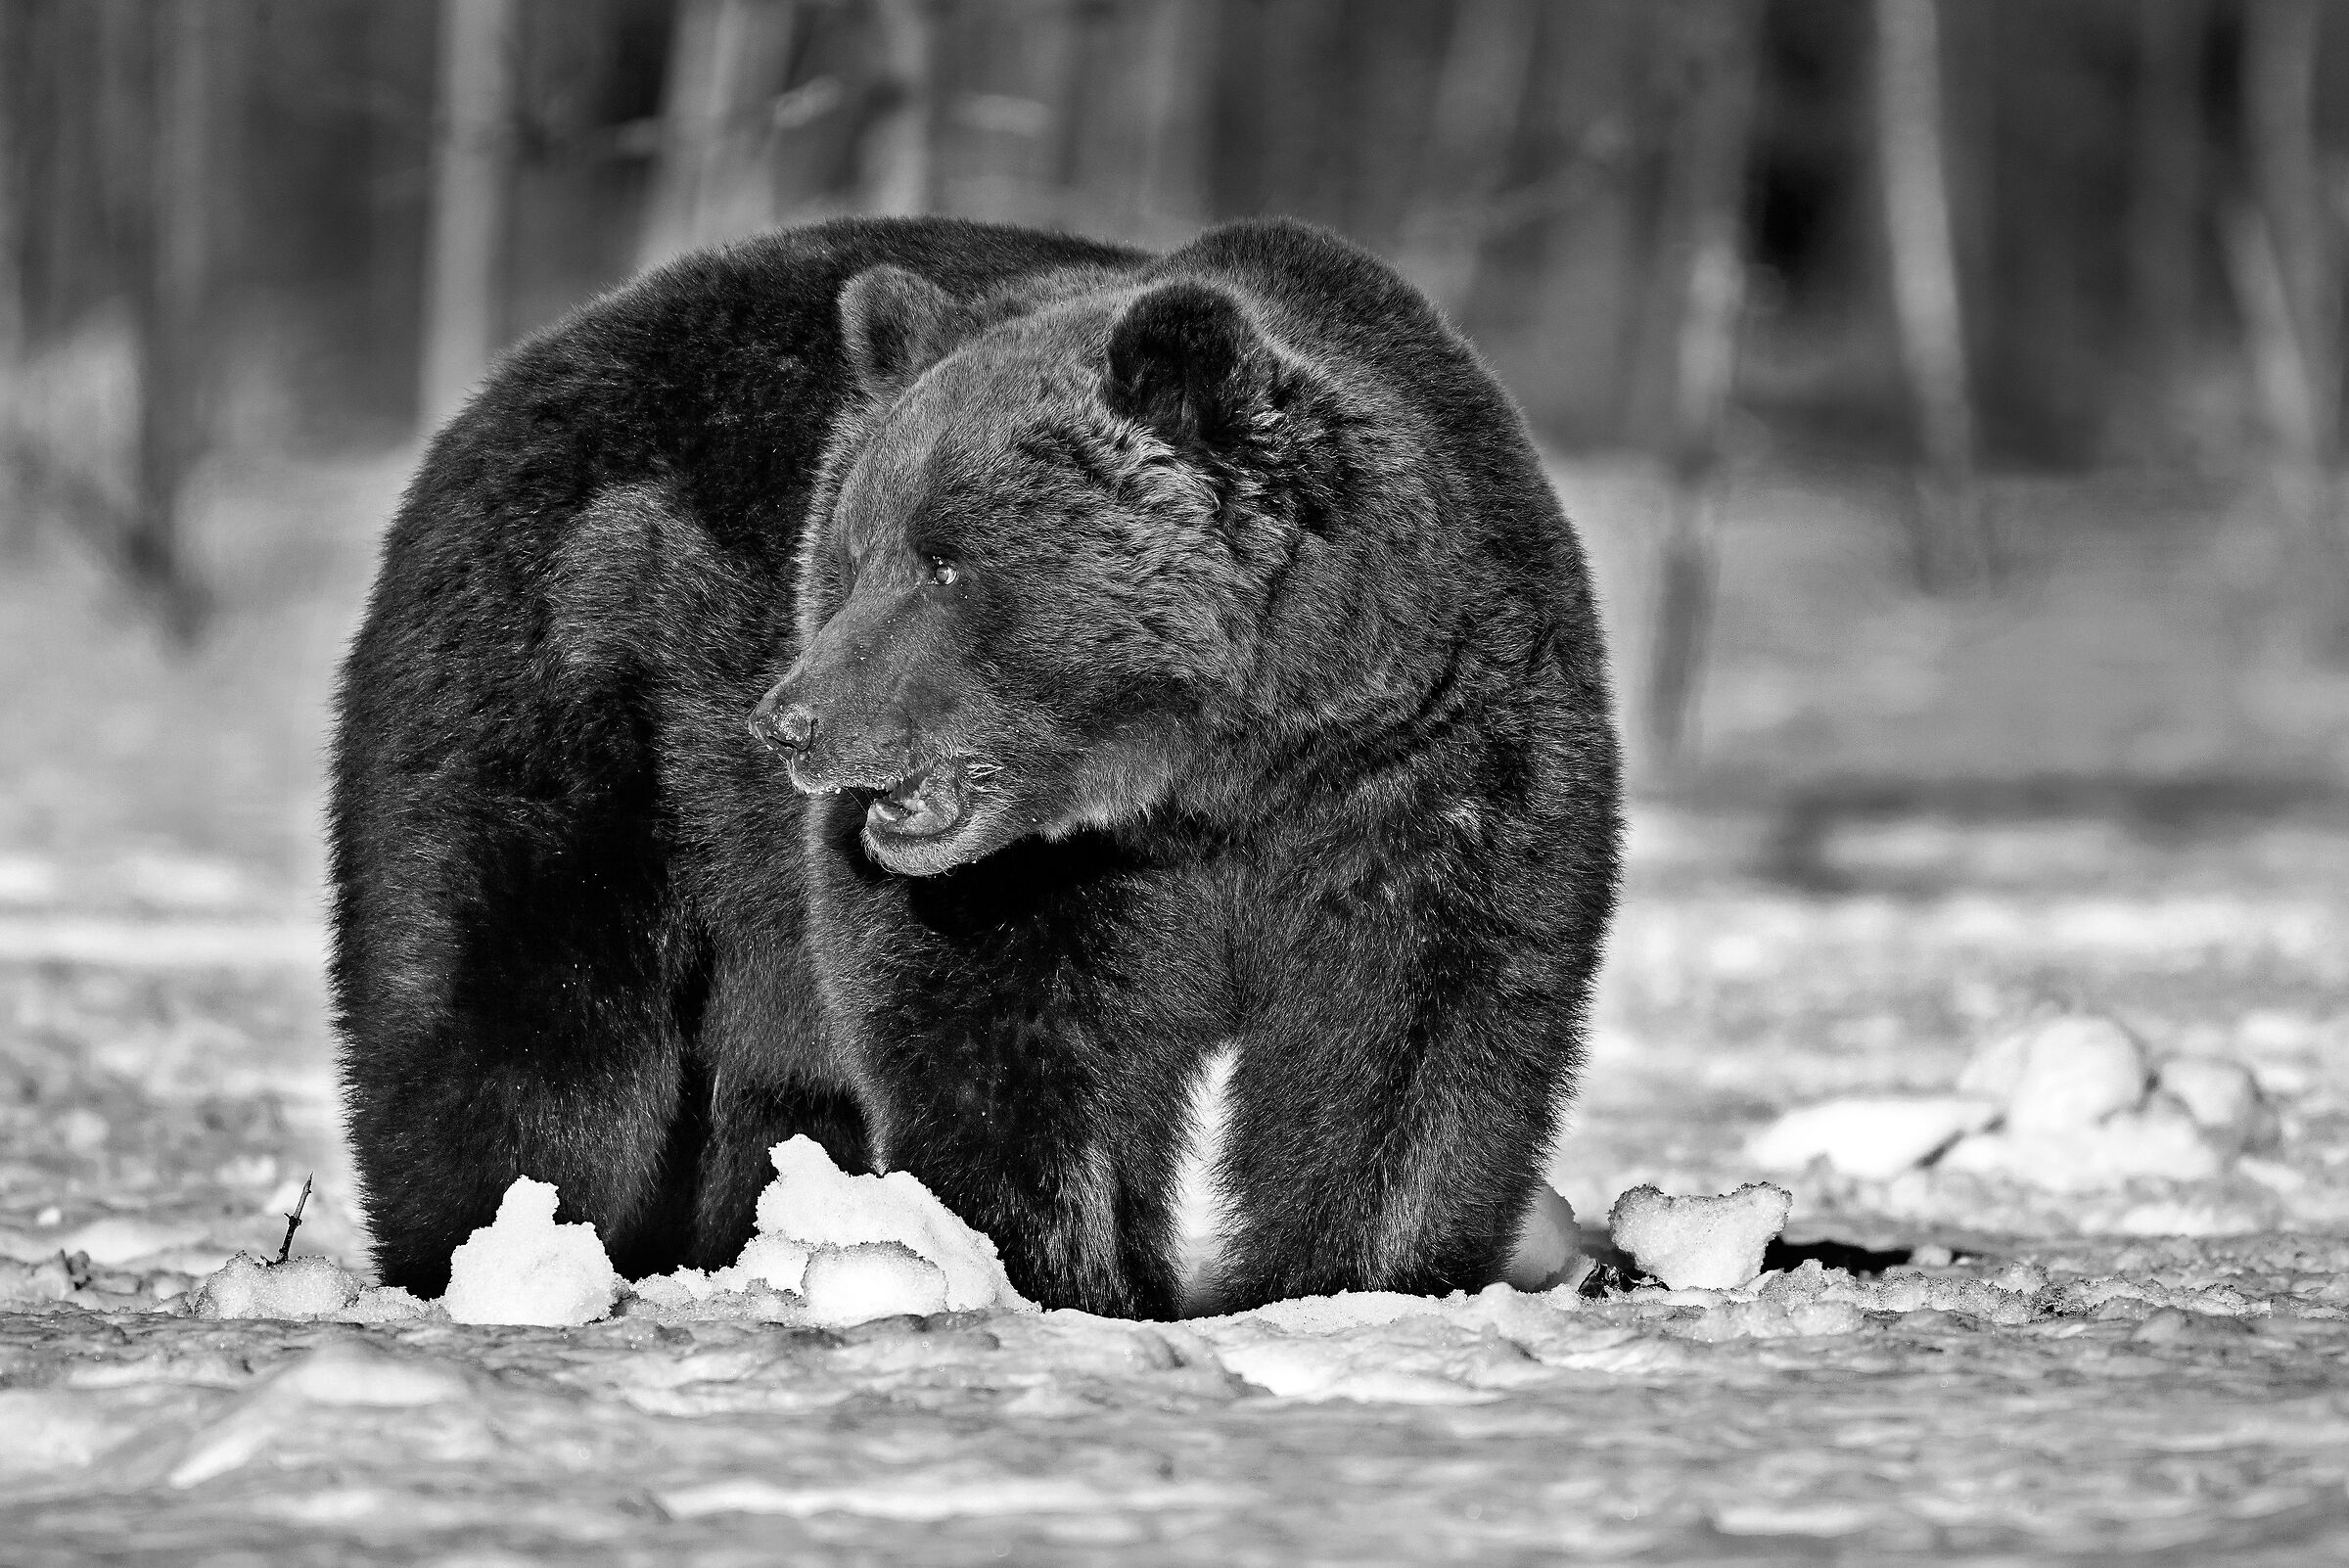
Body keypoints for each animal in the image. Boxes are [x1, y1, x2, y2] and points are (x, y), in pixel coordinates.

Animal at [330, 215, 1620, 1318]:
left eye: (946, 562)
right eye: (847, 554)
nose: (789, 722)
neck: (1212, 777)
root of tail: (529, 364)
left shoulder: (1427, 766)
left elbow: (1411, 1036)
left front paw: (1355, 1282)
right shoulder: (1031, 876)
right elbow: (1011, 1039)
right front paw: (1056, 1276)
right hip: (569, 684)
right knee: (519, 1013)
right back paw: (507, 1256)